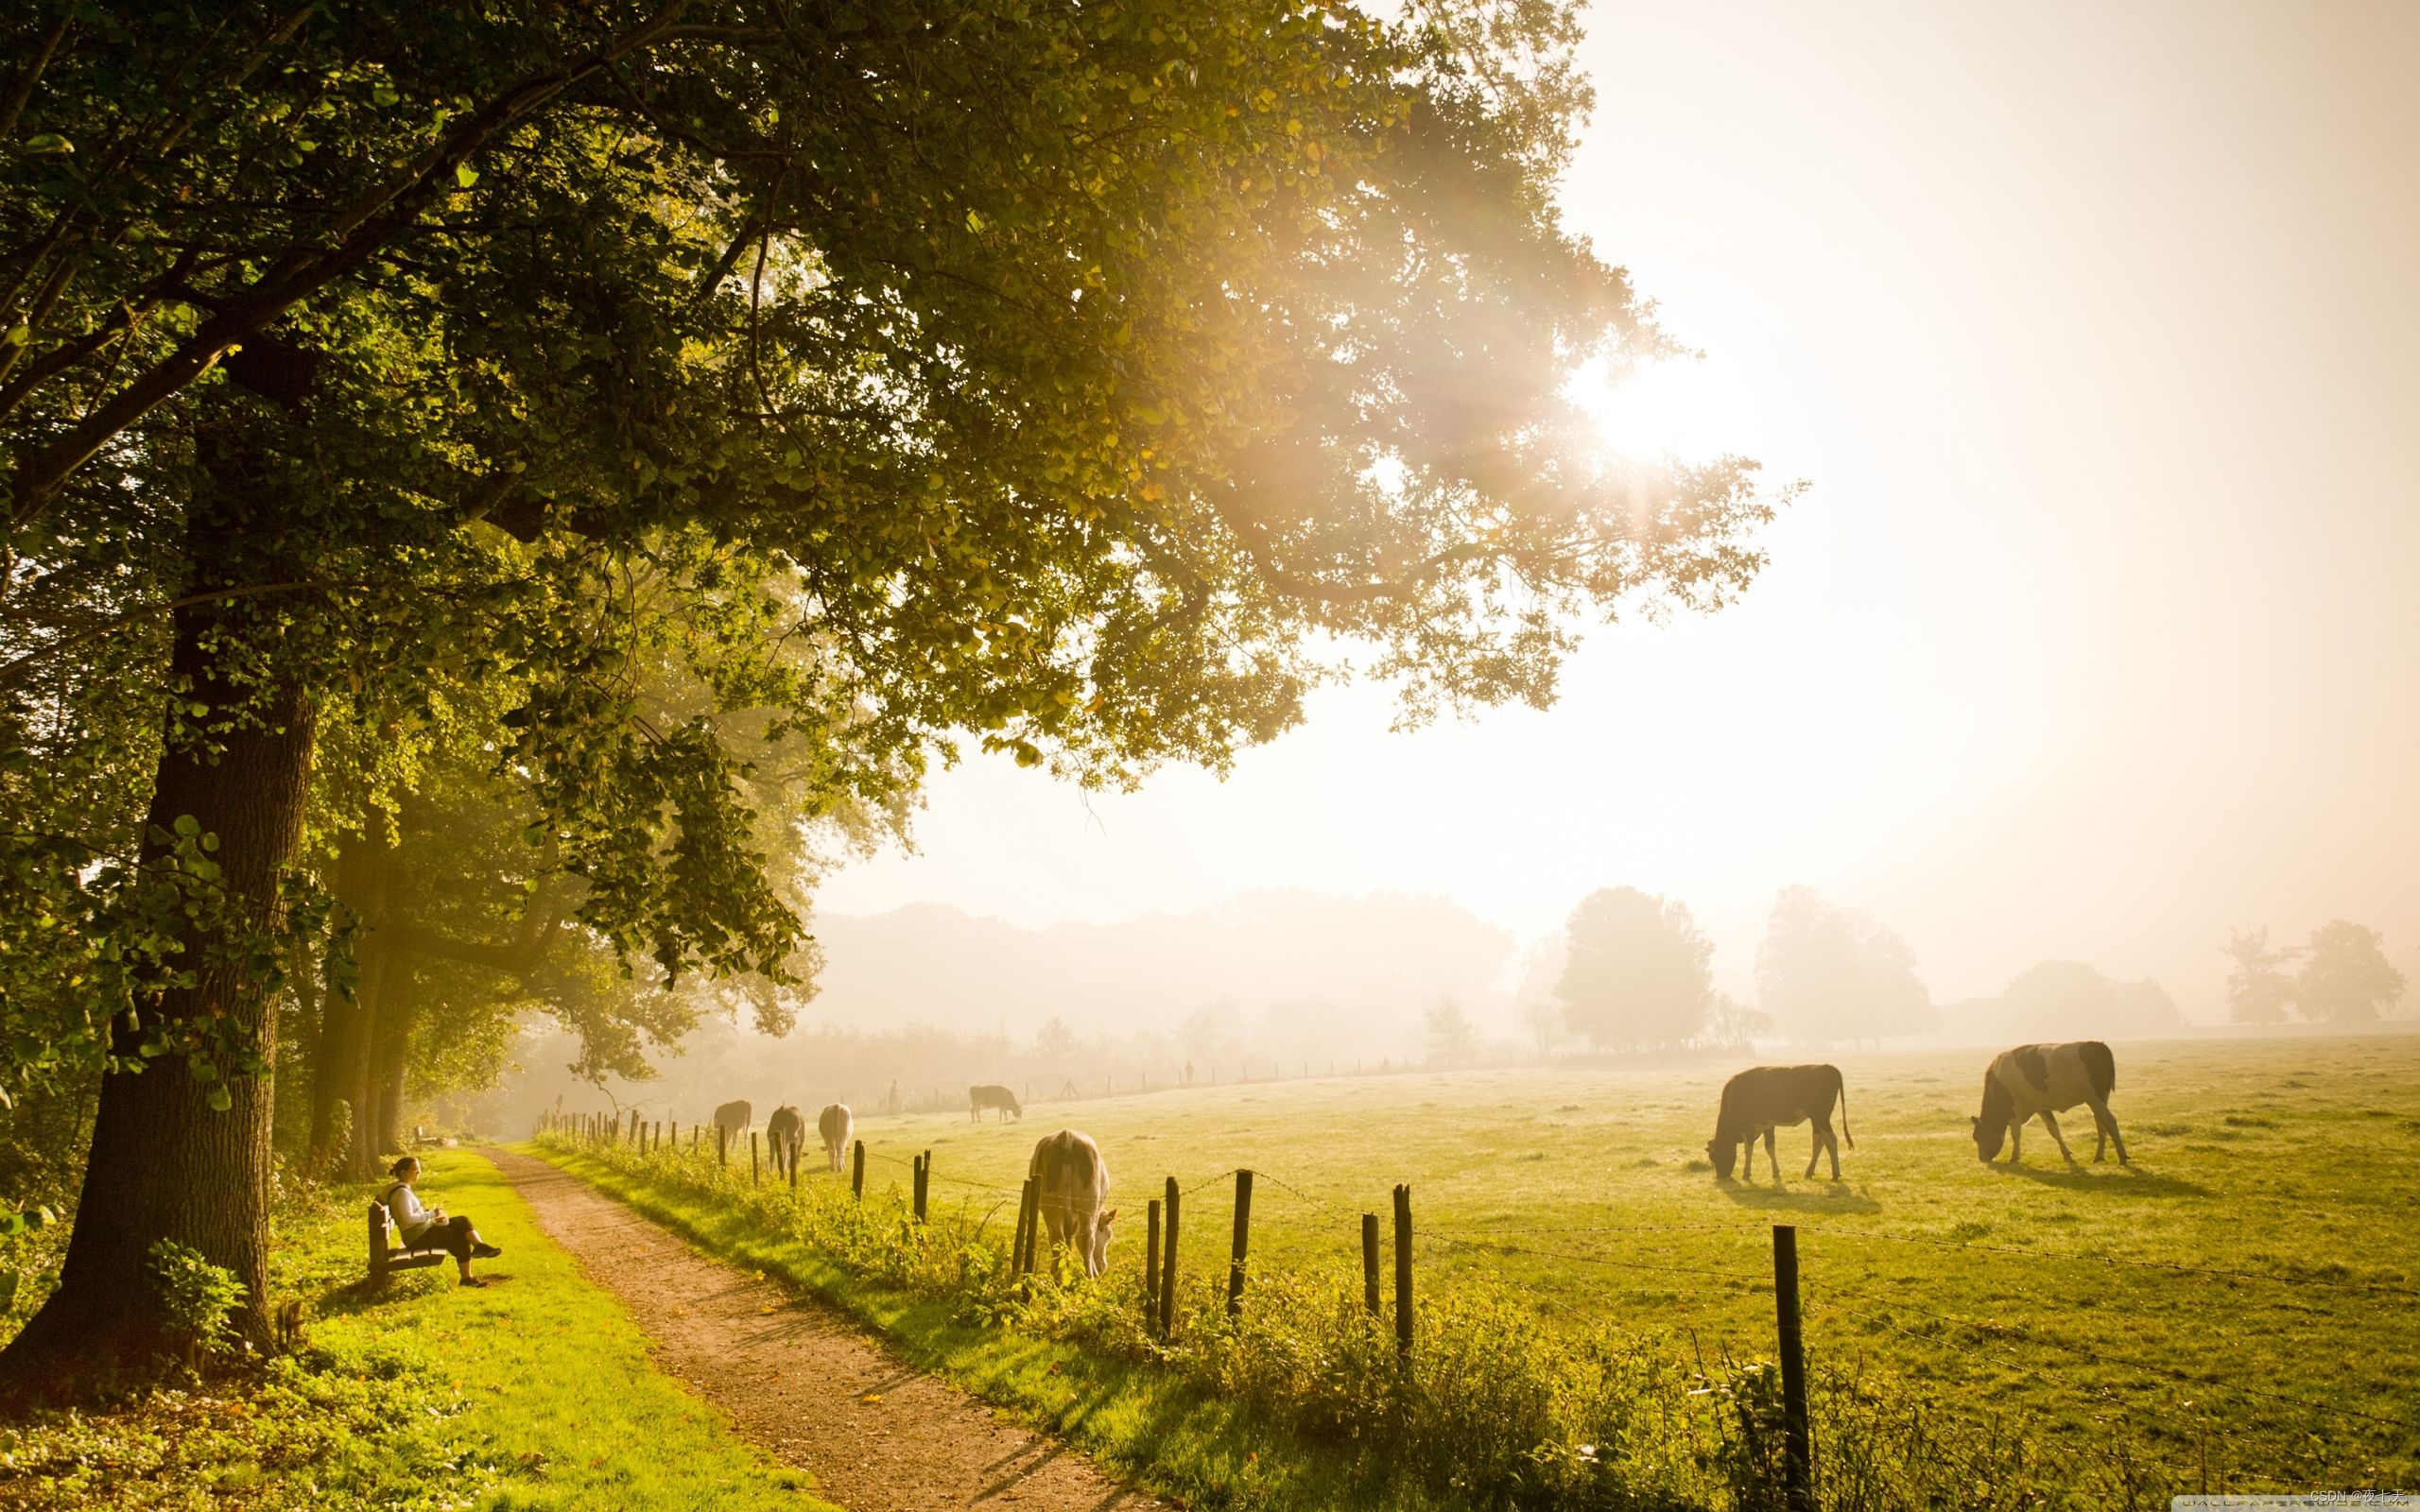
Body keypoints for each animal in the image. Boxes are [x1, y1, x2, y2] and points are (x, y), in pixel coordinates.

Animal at [1035, 1122, 1117, 1277]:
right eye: (1108, 1235)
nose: (1104, 1266)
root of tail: (1067, 1137)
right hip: (1088, 1207)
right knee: (1087, 1239)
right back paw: (1090, 1276)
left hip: (1051, 1209)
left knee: (1057, 1239)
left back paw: (1057, 1275)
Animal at [1703, 1059, 1848, 1180]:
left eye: (1715, 1156)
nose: (1721, 1176)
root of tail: (1827, 1067)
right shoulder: (1767, 1125)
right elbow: (1770, 1148)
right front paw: (1776, 1173)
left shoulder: (1749, 1128)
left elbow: (1749, 1150)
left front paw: (1746, 1174)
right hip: (1816, 1120)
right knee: (1819, 1141)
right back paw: (1809, 1172)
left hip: (1821, 1117)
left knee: (1831, 1140)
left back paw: (1835, 1174)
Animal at [1974, 1035, 2129, 1165]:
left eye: (1978, 1136)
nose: (1982, 1159)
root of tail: (2099, 1045)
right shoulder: (2040, 1106)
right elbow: (2053, 1129)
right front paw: (2066, 1154)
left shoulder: (2013, 1108)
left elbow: (2015, 1133)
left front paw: (2014, 1157)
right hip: (2099, 1099)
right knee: (2101, 1123)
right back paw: (2098, 1156)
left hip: (2095, 1098)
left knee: (2110, 1121)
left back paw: (2122, 1156)